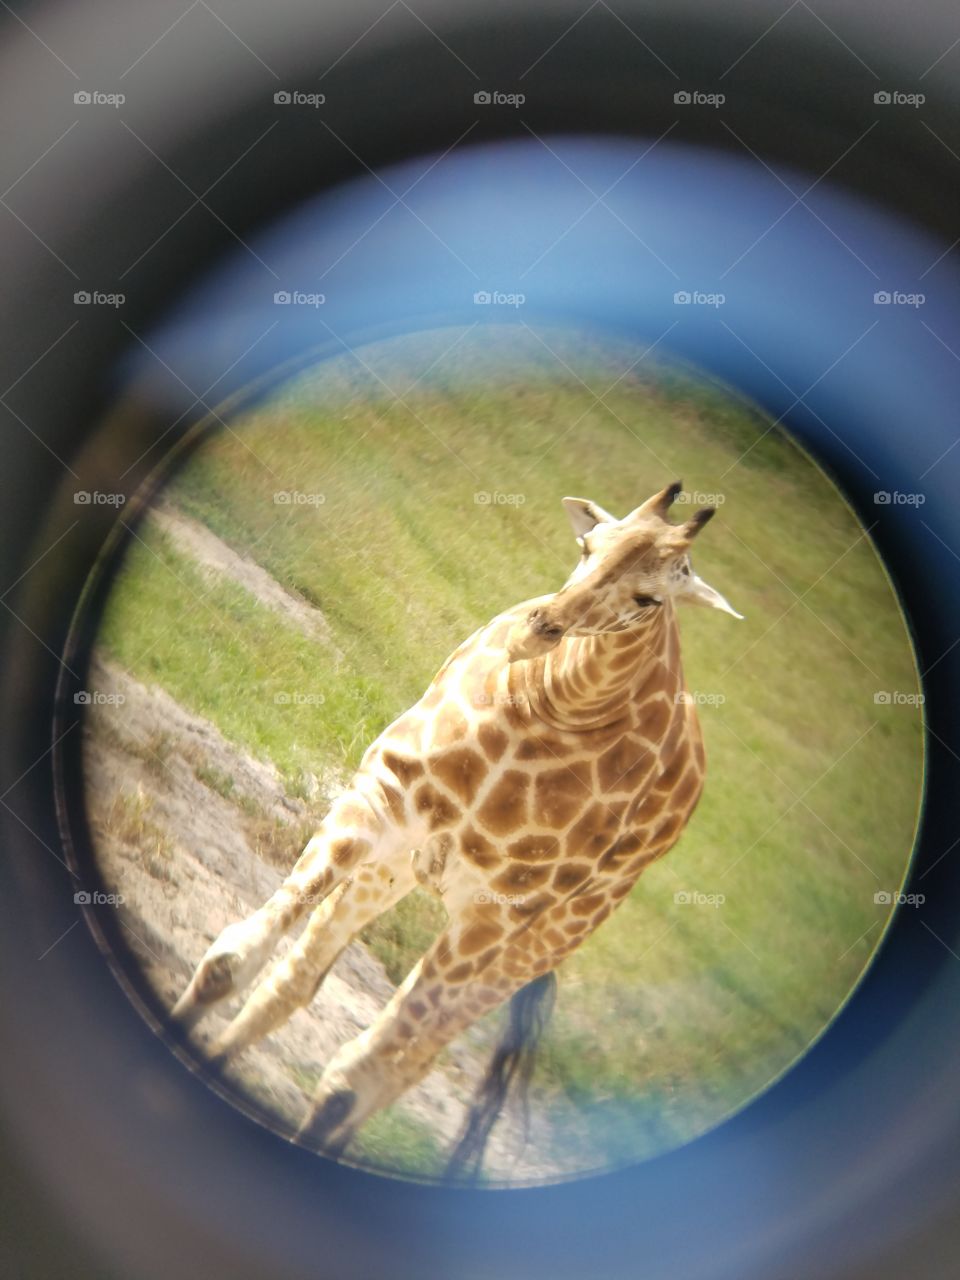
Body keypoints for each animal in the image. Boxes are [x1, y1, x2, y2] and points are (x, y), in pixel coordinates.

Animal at [172, 481, 742, 1163]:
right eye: (588, 546)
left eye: (649, 597)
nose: (539, 629)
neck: (551, 701)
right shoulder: (382, 798)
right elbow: (230, 961)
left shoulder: (497, 917)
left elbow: (351, 1078)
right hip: (399, 867)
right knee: (302, 979)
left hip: (535, 946)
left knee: (405, 1062)